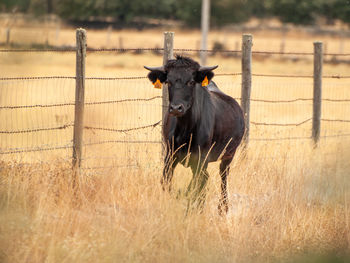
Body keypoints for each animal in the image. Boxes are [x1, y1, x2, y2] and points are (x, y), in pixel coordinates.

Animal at [144, 56, 243, 214]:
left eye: (191, 81)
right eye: (168, 81)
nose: (176, 108)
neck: (185, 130)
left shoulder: (201, 157)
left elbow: (195, 185)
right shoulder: (170, 155)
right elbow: (166, 182)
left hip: (229, 155)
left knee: (223, 177)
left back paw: (223, 208)